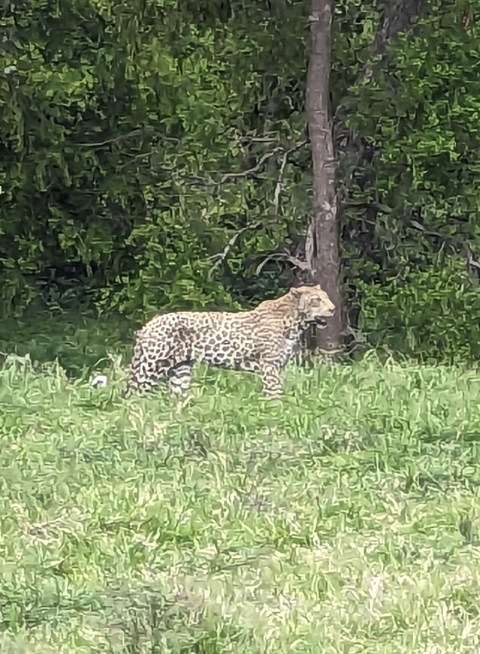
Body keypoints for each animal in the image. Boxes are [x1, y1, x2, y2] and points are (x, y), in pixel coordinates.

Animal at [123, 284, 335, 398]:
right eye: (316, 300)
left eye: (326, 297)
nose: (333, 308)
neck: (295, 322)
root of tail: (148, 324)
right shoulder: (270, 366)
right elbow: (274, 393)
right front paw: (276, 414)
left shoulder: (279, 367)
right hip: (150, 366)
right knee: (133, 394)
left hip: (180, 370)